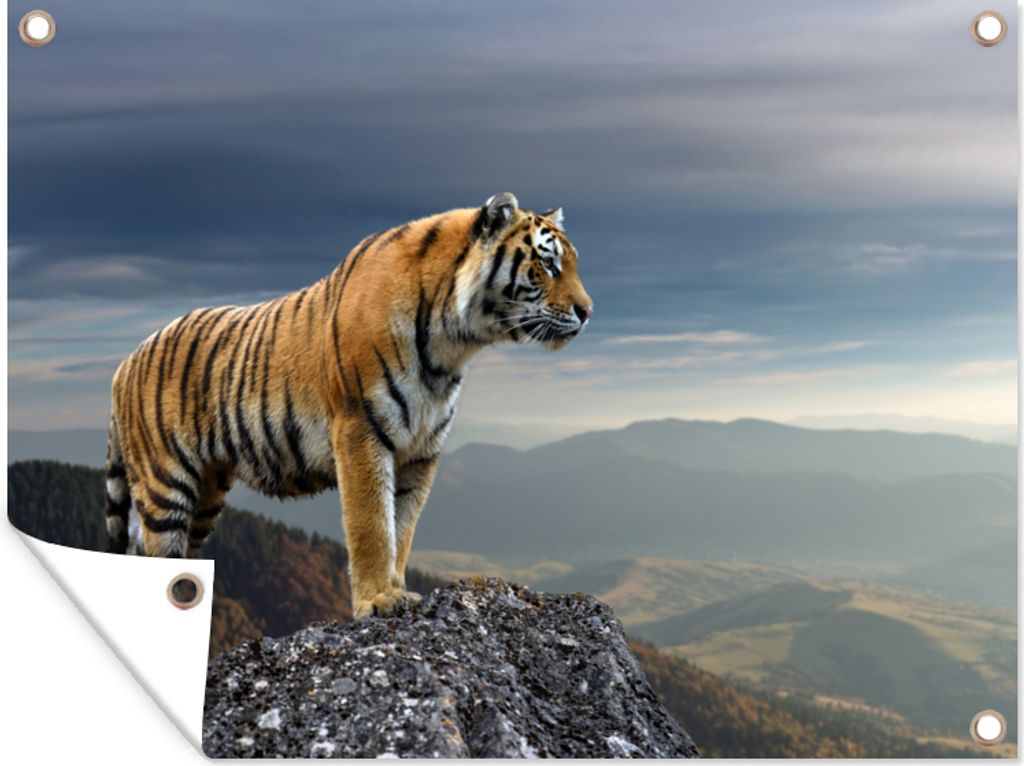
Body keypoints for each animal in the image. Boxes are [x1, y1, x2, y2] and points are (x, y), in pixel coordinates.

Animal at [103, 193, 593, 617]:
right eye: (547, 264)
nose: (588, 312)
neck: (453, 344)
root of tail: (123, 363)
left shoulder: (422, 450)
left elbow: (402, 527)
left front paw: (395, 588)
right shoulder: (362, 430)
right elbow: (372, 523)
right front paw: (378, 600)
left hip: (206, 495)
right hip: (165, 486)